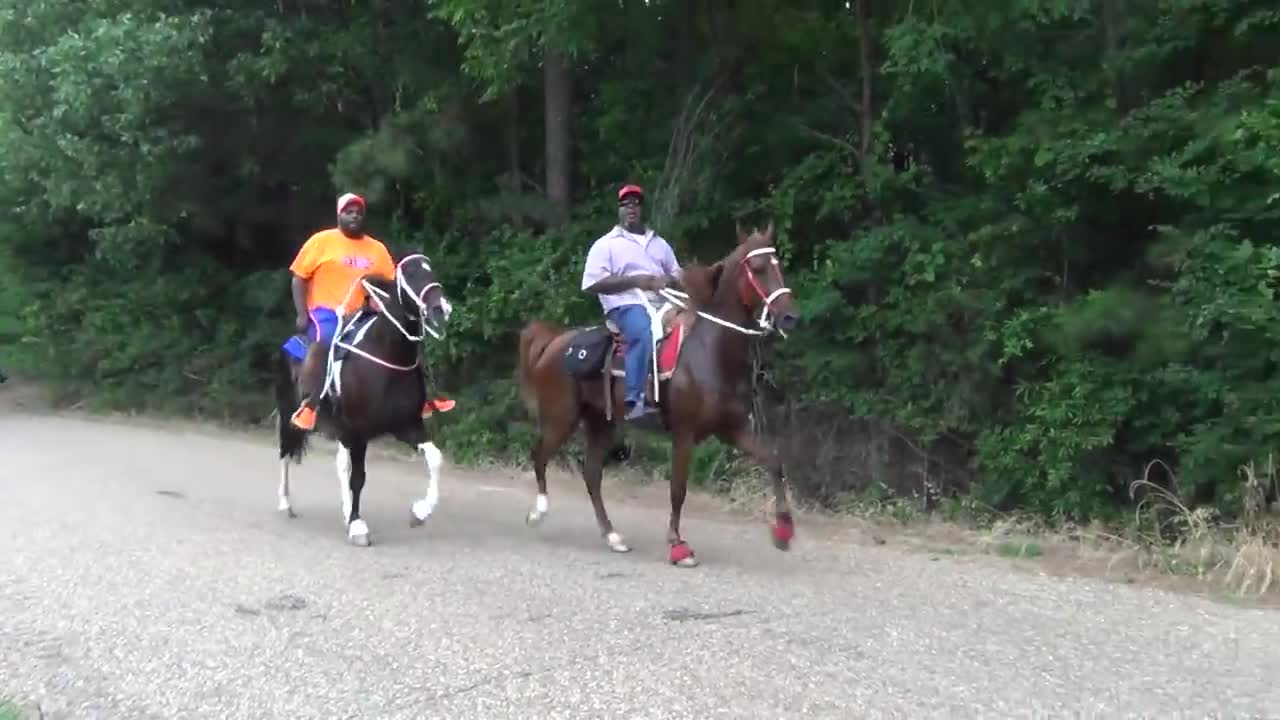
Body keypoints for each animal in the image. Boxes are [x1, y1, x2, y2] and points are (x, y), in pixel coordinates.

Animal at [514, 224, 793, 566]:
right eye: (757, 267)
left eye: (779, 265)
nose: (788, 316)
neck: (710, 352)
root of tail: (554, 342)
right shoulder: (684, 434)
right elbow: (678, 489)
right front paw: (678, 545)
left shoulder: (733, 429)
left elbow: (774, 461)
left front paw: (784, 532)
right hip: (561, 418)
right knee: (539, 455)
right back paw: (539, 512)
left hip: (600, 423)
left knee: (591, 474)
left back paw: (613, 536)